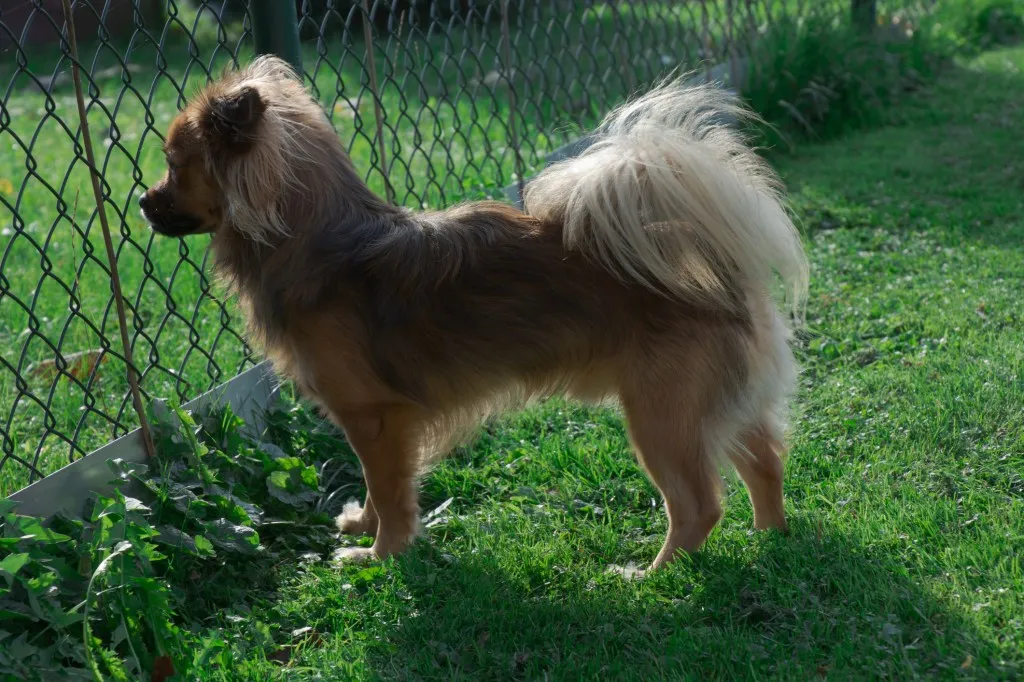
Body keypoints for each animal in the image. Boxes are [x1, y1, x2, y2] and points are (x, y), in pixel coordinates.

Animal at [140, 55, 806, 569]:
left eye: (174, 165)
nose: (142, 201)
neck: (312, 240)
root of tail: (717, 267)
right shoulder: (377, 425)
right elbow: (379, 489)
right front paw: (363, 528)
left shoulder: (375, 419)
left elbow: (390, 490)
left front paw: (379, 555)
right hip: (715, 404)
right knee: (766, 463)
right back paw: (770, 539)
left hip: (661, 414)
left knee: (699, 505)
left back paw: (654, 573)